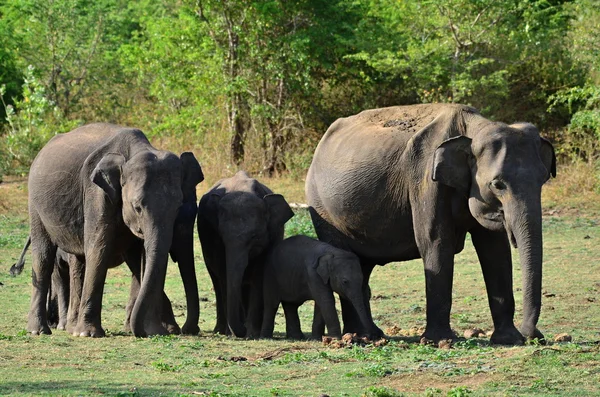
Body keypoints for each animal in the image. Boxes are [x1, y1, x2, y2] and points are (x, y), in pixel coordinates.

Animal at [27, 122, 204, 336]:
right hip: (35, 204)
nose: (189, 329)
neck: (136, 150)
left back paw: (71, 328)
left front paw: (156, 331)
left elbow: (143, 257)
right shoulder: (96, 192)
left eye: (177, 207)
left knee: (80, 260)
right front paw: (88, 334)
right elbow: (99, 247)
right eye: (137, 207)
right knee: (44, 256)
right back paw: (39, 331)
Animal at [198, 170, 294, 338]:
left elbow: (259, 274)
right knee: (217, 280)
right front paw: (232, 333)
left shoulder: (273, 235)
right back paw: (220, 330)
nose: (241, 331)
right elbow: (224, 275)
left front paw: (252, 333)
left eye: (255, 237)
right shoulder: (214, 239)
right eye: (222, 236)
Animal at [308, 102, 556, 344]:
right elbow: (436, 240)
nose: (533, 335)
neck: (473, 128)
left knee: (362, 267)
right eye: (497, 184)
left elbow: (494, 249)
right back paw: (358, 336)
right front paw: (440, 341)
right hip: (323, 210)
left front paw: (509, 339)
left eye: (543, 179)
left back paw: (372, 334)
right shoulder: (425, 178)